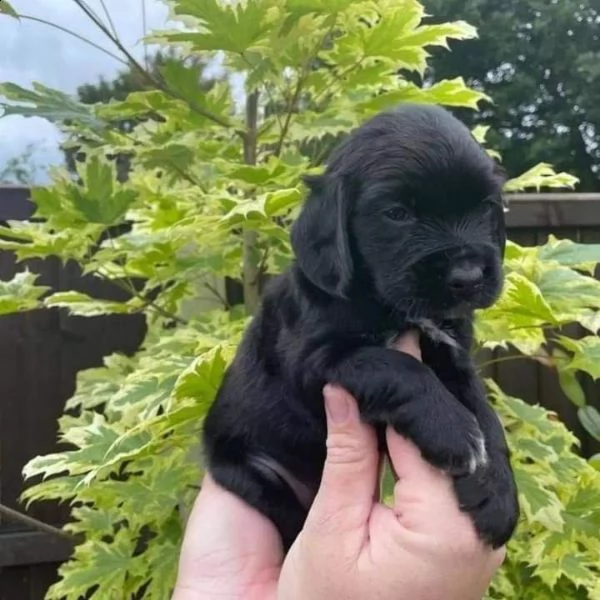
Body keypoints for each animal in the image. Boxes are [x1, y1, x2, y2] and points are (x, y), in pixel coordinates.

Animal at [203, 102, 520, 552]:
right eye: (398, 213)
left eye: (486, 205)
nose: (469, 277)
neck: (392, 307)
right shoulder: (313, 361)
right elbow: (397, 367)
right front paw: (453, 431)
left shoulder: (452, 354)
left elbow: (485, 411)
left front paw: (496, 493)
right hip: (253, 473)